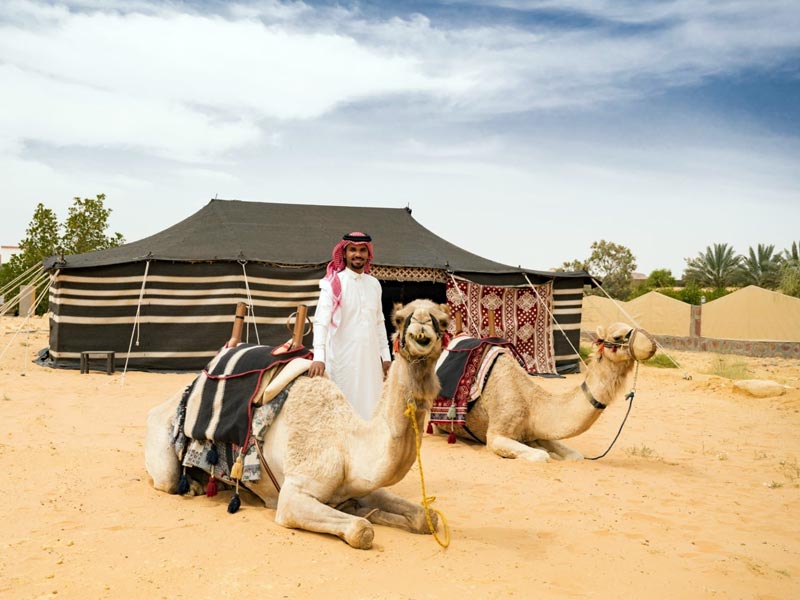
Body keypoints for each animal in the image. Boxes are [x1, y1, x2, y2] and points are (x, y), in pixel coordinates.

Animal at [145, 299, 449, 549]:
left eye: (442, 321)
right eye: (400, 319)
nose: (422, 325)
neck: (346, 446)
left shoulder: (364, 486)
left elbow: (426, 517)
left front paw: (369, 511)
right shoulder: (293, 496)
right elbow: (362, 530)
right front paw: (362, 517)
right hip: (162, 446)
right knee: (168, 479)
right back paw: (193, 486)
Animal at [435, 322, 657, 462]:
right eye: (618, 336)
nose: (651, 343)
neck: (531, 402)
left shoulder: (537, 430)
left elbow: (574, 455)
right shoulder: (497, 434)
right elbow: (541, 455)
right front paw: (544, 452)